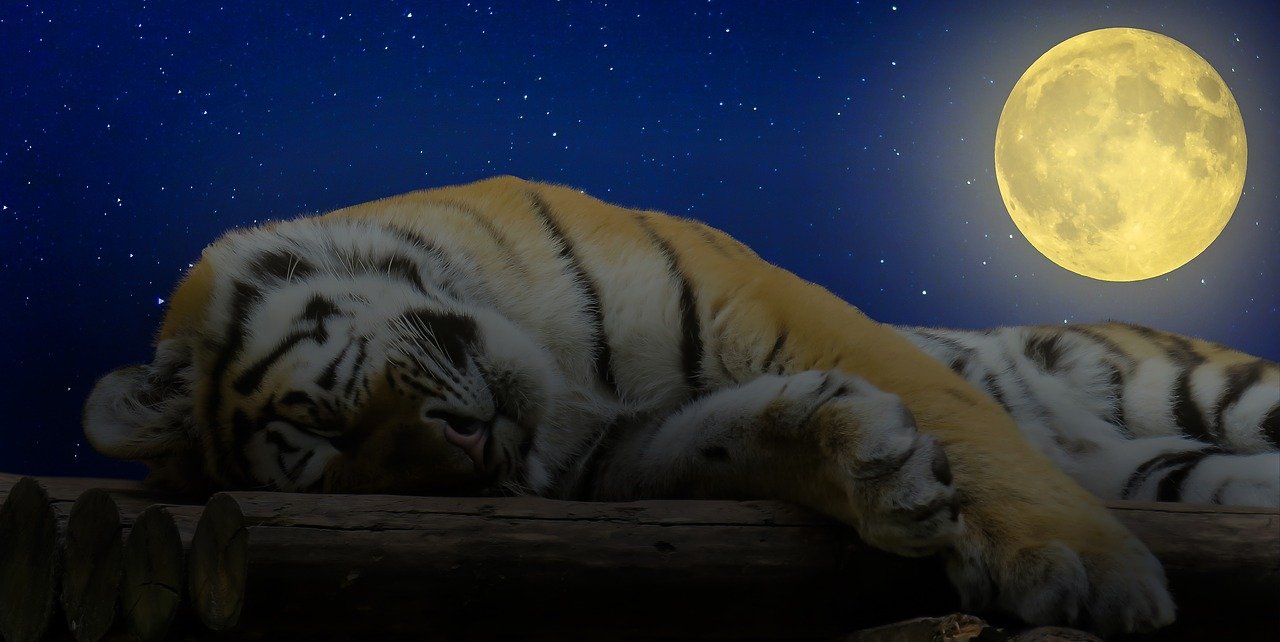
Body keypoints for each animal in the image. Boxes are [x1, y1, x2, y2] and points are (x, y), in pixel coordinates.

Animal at [82, 176, 1279, 635]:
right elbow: (722, 445)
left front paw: (1080, 571)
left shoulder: (772, 302)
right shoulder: (615, 459)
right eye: (360, 475)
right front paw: (874, 466)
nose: (470, 451)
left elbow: (964, 419)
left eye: (334, 428)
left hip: (1193, 385)